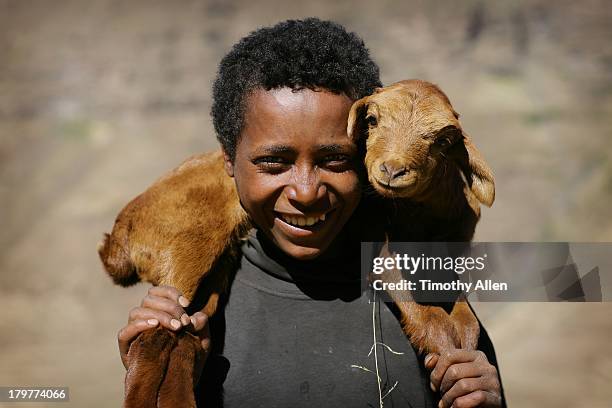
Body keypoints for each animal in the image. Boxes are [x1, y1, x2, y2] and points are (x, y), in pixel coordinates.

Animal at [98, 79, 494, 404]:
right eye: (372, 120)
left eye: (442, 140)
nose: (392, 170)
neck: (421, 224)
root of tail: (119, 235)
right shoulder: (383, 255)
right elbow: (433, 321)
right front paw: (450, 366)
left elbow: (467, 323)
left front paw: (469, 373)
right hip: (186, 243)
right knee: (154, 336)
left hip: (214, 273)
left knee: (187, 335)